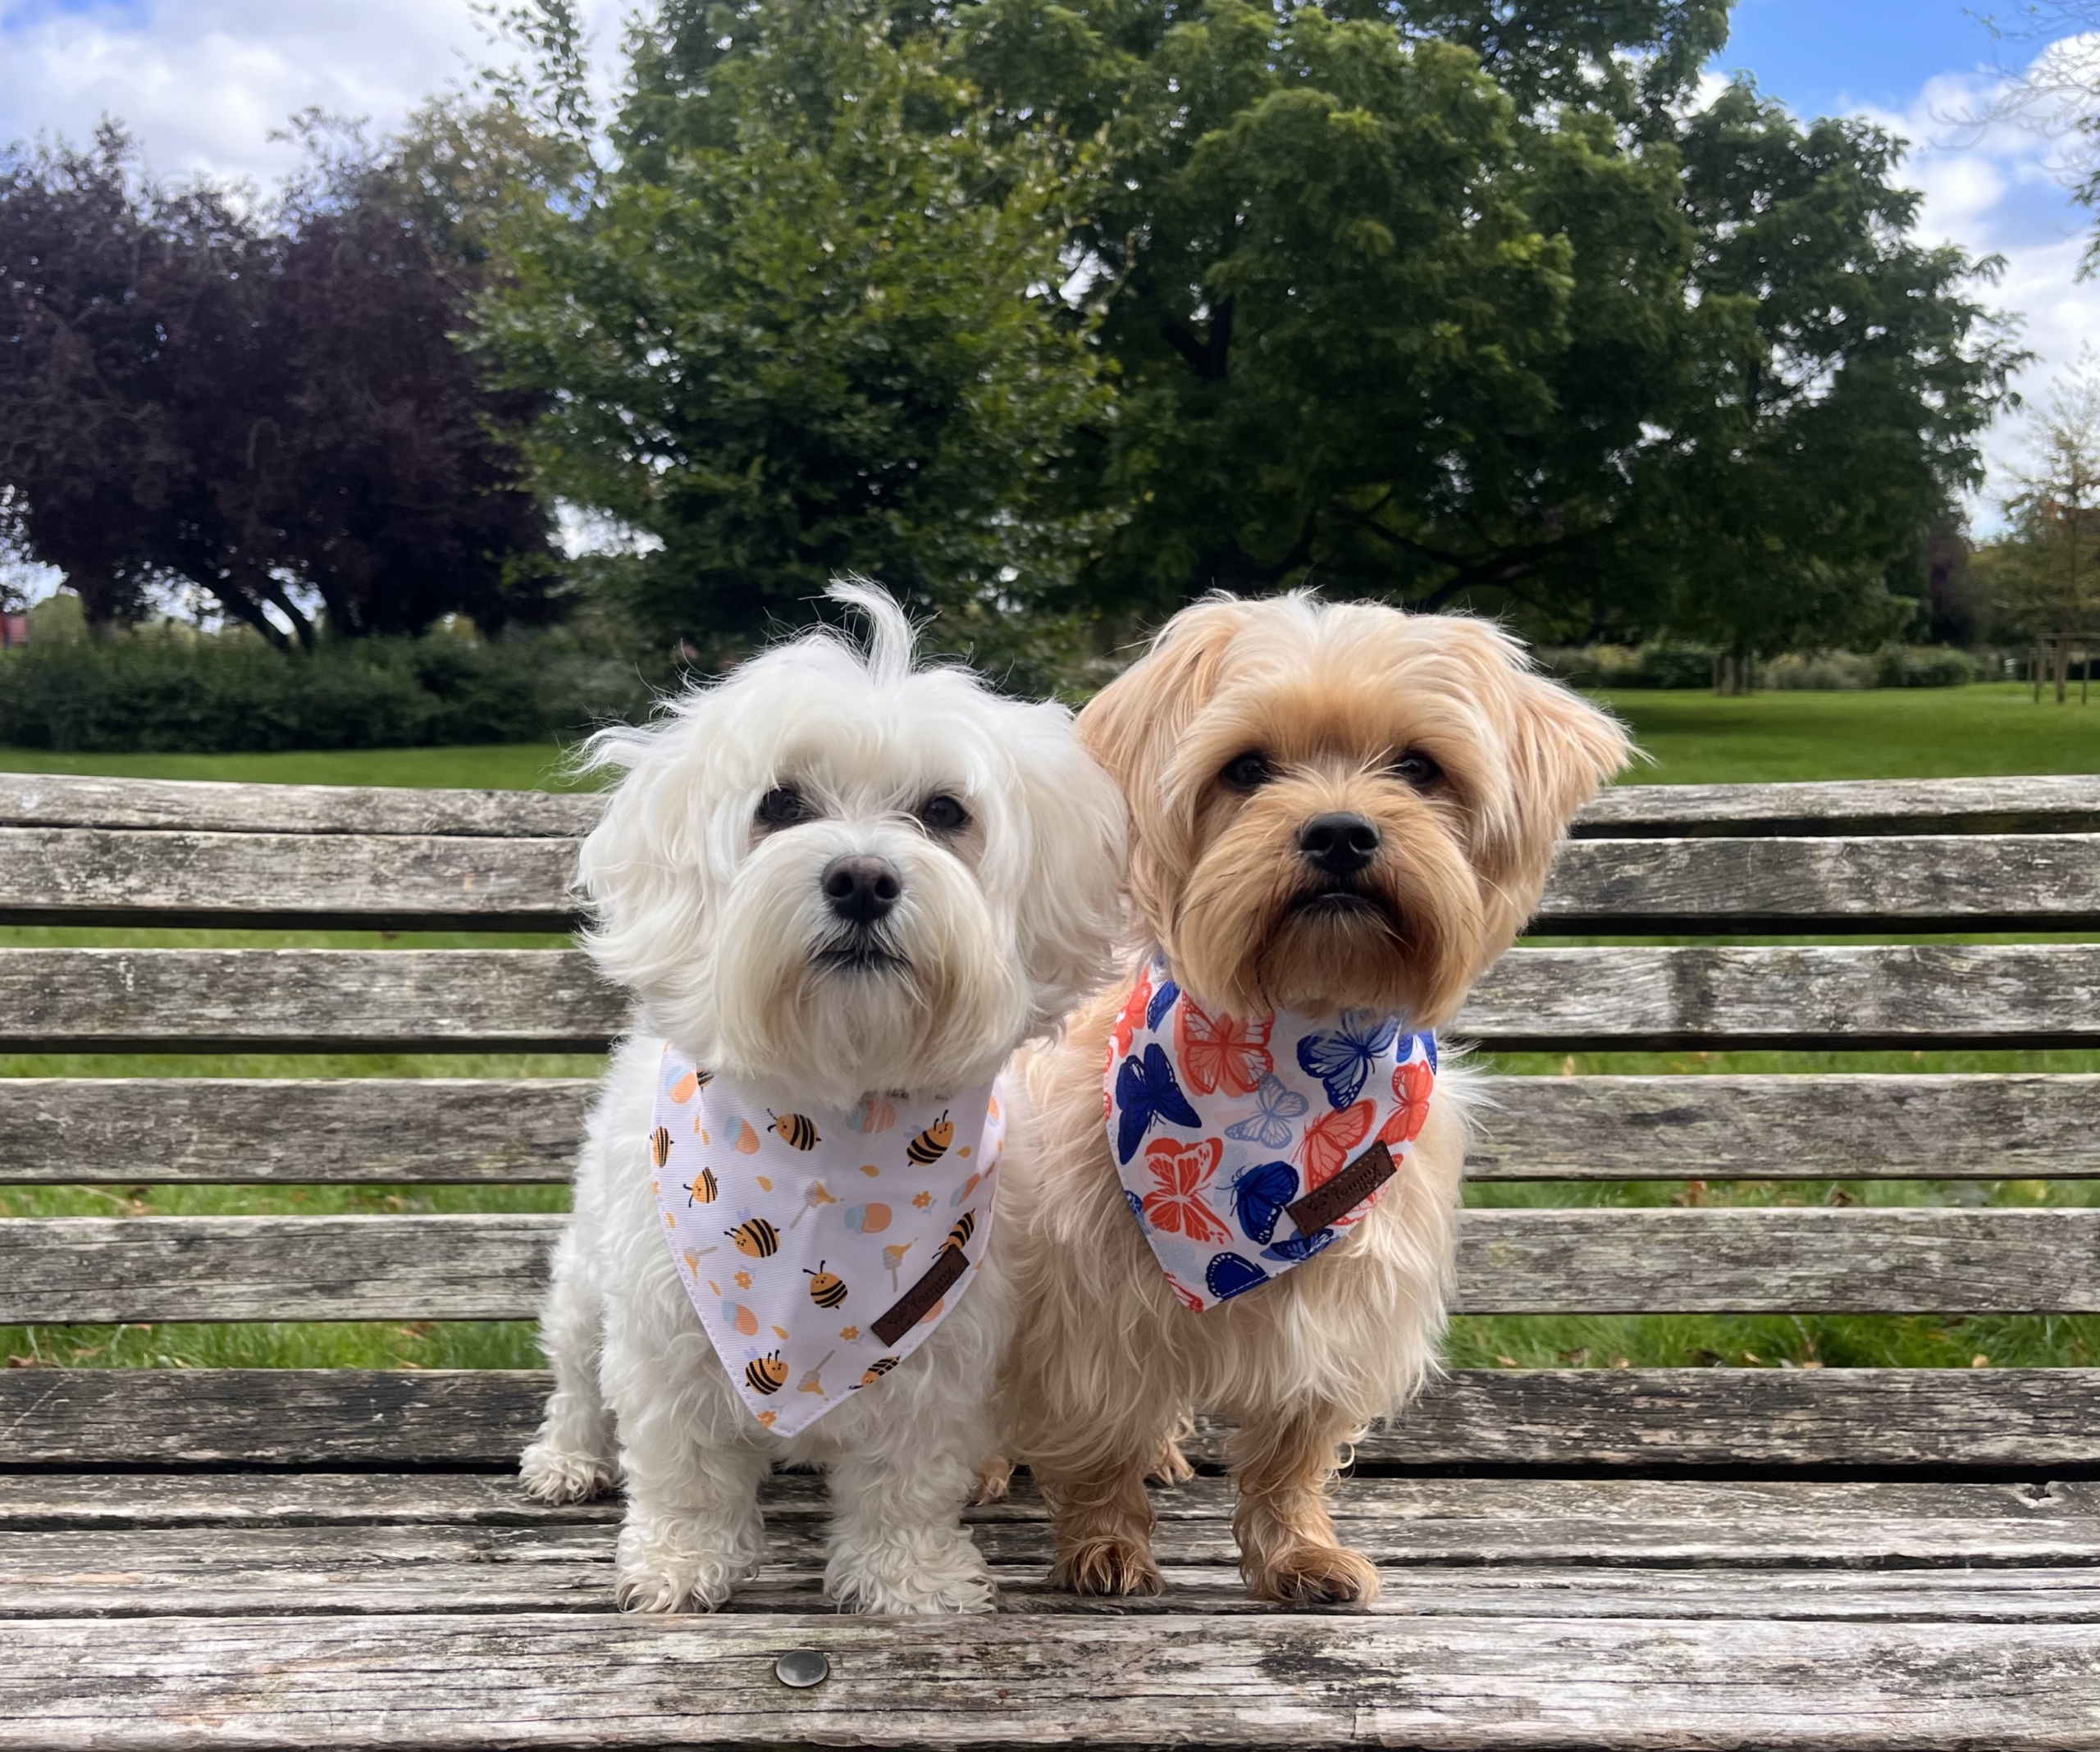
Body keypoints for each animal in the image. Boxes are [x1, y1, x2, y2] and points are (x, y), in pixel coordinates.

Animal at [519, 581, 1127, 1615]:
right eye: (779, 803)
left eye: (944, 811)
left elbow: (908, 1473)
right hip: (585, 1286)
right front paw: (680, 1561)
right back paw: (566, 1458)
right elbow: (680, 1463)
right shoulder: (666, 1326)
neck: (831, 1128)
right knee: (573, 1384)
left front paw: (908, 1576)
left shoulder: (939, 1333)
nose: (863, 878)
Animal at [999, 592, 1630, 1604]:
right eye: (1247, 768)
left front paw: (1296, 1551)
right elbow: (1097, 1434)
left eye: (1418, 766)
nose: (1340, 831)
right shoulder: (1089, 1303)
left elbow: (1293, 1451)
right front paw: (1105, 1543)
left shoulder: (1343, 1304)